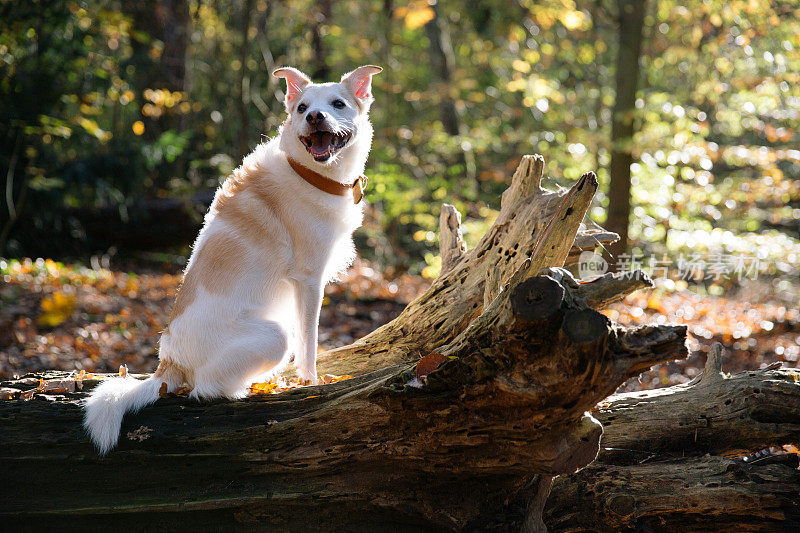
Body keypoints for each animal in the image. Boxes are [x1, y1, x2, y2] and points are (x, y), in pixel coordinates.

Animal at [83, 63, 382, 454]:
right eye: (302, 108)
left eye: (338, 104)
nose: (315, 117)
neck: (310, 174)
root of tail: (167, 364)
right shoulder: (309, 283)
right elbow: (309, 345)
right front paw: (311, 382)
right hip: (276, 334)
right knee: (202, 390)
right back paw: (246, 389)